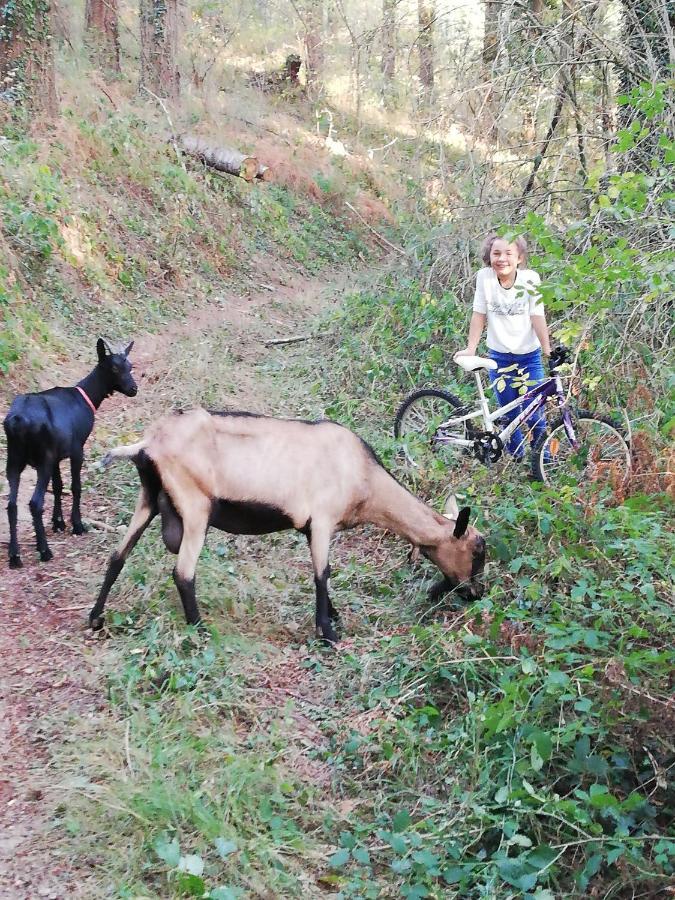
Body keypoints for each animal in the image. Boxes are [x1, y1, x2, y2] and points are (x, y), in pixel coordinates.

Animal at [4, 338, 137, 568]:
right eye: (113, 367)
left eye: (129, 366)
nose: (133, 388)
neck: (85, 398)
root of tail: (17, 422)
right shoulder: (76, 449)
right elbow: (75, 486)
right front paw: (77, 525)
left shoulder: (57, 456)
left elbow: (58, 486)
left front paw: (58, 522)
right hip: (42, 460)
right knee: (34, 503)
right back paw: (44, 550)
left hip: (14, 460)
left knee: (12, 505)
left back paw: (14, 556)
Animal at [90, 408, 486, 640]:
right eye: (478, 552)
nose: (477, 594)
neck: (365, 478)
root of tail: (147, 444)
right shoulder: (322, 521)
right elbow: (322, 574)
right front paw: (328, 632)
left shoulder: (313, 529)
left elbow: (323, 574)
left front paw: (333, 617)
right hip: (195, 506)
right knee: (183, 573)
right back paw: (200, 630)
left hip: (150, 499)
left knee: (117, 556)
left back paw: (96, 618)